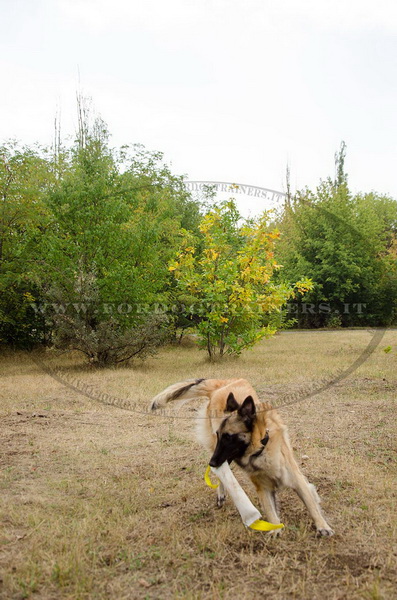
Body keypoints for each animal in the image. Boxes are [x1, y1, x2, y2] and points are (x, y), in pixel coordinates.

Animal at [150, 378, 332, 536]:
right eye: (219, 435)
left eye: (229, 437)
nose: (212, 463)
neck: (261, 447)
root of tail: (222, 384)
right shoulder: (262, 488)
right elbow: (271, 512)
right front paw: (275, 530)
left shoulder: (296, 479)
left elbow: (311, 504)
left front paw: (322, 526)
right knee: (223, 476)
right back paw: (221, 493)